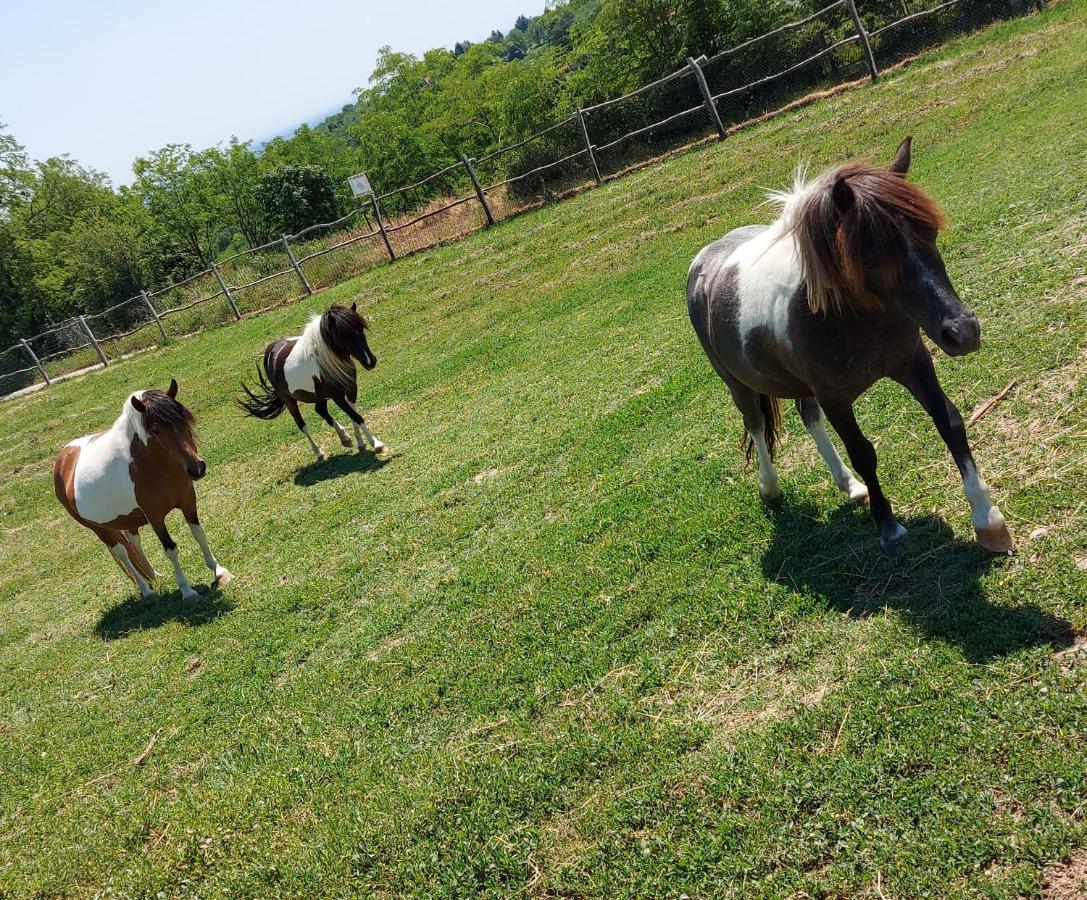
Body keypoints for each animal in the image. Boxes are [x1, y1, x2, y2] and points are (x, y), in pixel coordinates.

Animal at [52, 376, 231, 600]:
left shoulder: (189, 501)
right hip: (100, 529)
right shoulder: (155, 516)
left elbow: (199, 533)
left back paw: (154, 575)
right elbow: (170, 549)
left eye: (184, 419)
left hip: (128, 518)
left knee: (134, 542)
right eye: (154, 430)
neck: (151, 465)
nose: (196, 468)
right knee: (122, 552)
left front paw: (219, 571)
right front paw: (187, 590)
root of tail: (62, 461)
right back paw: (146, 590)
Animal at [239, 304, 386, 463]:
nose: (370, 361)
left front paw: (360, 442)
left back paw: (345, 438)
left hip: (318, 395)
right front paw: (377, 444)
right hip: (290, 400)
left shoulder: (351, 389)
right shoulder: (337, 397)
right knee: (301, 424)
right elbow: (356, 416)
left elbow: (354, 415)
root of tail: (271, 350)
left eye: (361, 329)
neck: (328, 361)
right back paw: (319, 453)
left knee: (320, 410)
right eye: (343, 335)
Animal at [686, 138, 1017, 556]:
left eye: (930, 233)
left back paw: (850, 487)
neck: (847, 315)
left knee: (808, 417)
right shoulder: (836, 397)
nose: (963, 331)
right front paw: (888, 525)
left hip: (799, 385)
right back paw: (770, 488)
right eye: (871, 258)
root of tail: (704, 262)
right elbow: (863, 452)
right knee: (756, 424)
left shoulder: (913, 362)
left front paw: (988, 519)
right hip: (738, 384)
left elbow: (951, 422)